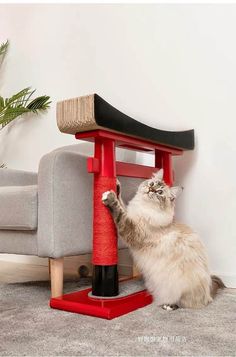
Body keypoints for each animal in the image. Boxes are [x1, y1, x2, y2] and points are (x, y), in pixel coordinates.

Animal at [102, 168, 225, 310]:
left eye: (159, 192)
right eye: (151, 184)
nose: (151, 190)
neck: (144, 208)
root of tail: (209, 293)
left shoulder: (131, 230)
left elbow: (119, 212)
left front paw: (110, 198)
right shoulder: (131, 215)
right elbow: (121, 203)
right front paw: (115, 185)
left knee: (183, 303)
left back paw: (168, 306)